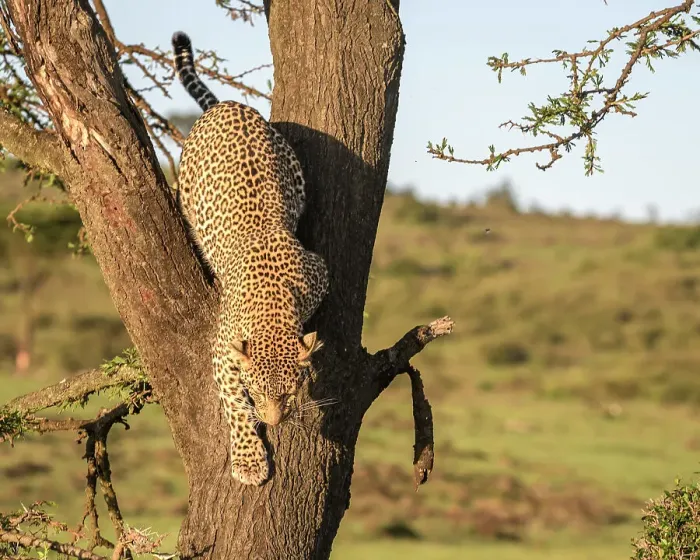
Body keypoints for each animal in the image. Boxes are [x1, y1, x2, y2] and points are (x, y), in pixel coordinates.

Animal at [172, 31, 329, 486]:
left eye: (289, 391)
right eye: (255, 390)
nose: (275, 422)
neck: (273, 303)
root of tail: (227, 104)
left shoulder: (319, 271)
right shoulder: (223, 350)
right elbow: (233, 406)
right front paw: (248, 459)